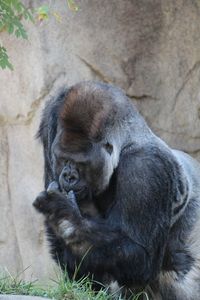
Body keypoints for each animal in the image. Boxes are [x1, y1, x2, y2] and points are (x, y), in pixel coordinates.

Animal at [33, 81, 200, 298]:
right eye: (62, 158)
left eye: (81, 163)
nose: (68, 176)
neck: (127, 141)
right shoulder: (50, 122)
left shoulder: (146, 167)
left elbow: (140, 255)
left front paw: (63, 215)